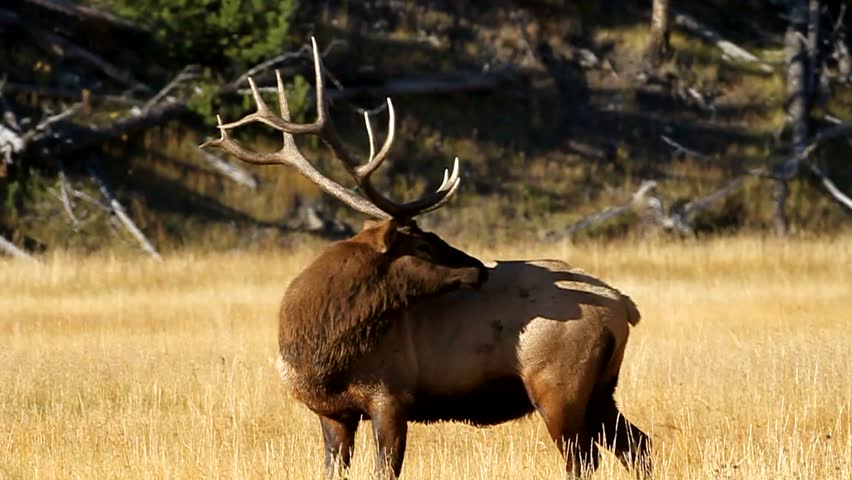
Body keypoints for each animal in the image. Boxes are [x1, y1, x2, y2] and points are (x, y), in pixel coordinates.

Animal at [200, 38, 651, 479]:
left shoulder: (392, 395)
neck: (321, 356)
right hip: (600, 388)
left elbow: (385, 469)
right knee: (637, 444)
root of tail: (625, 307)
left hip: (559, 383)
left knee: (585, 459)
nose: (479, 268)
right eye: (421, 244)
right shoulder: (332, 412)